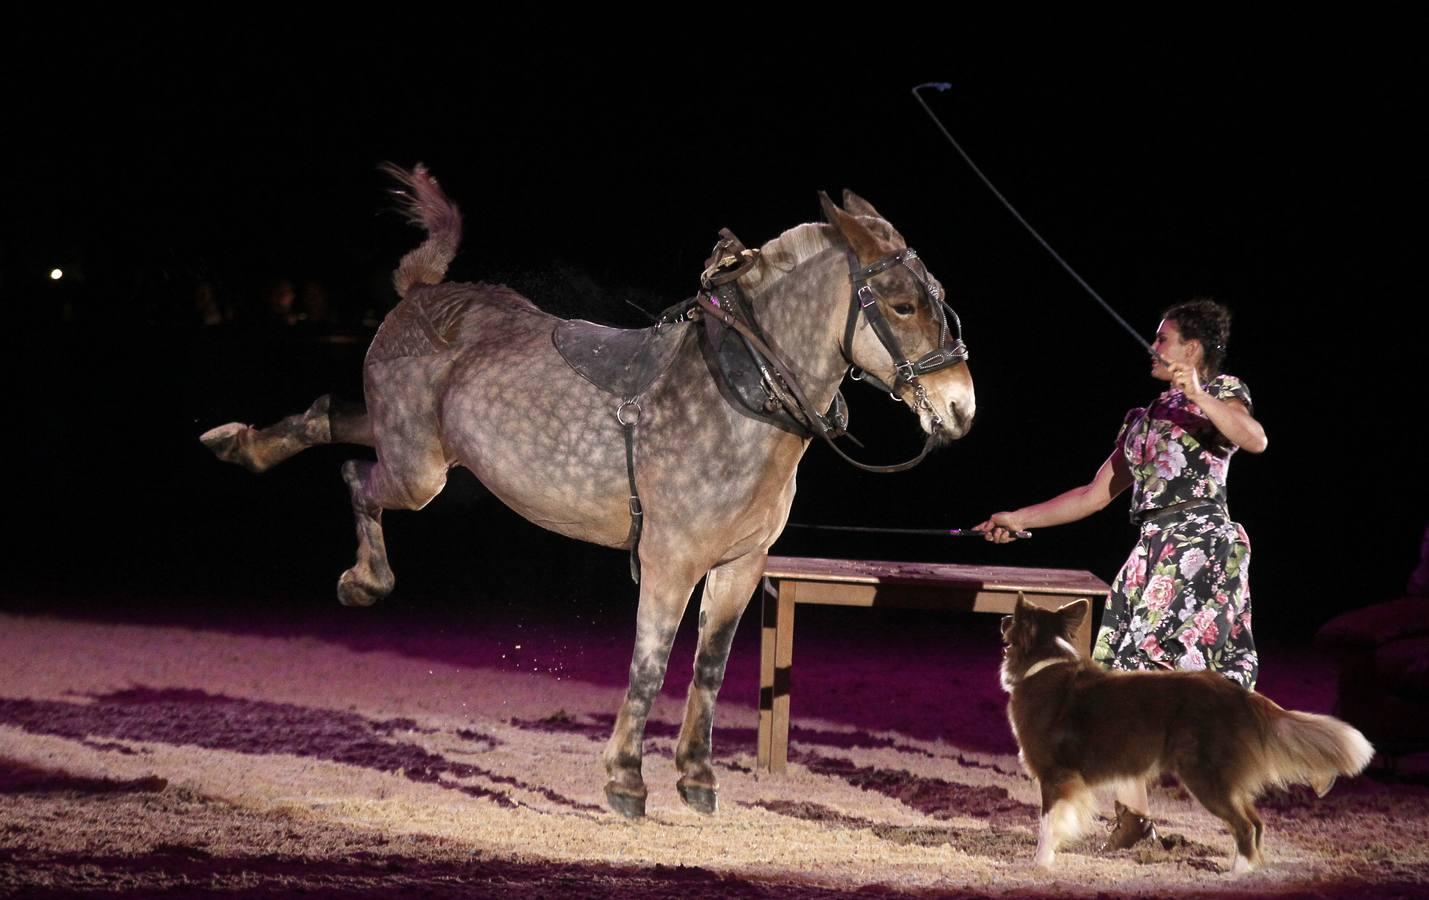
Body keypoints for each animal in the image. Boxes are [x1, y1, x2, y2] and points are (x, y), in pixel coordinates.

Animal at [201, 165, 977, 822]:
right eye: (902, 305)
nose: (959, 408)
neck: (737, 398)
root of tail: (422, 292)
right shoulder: (669, 561)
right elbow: (650, 664)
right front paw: (626, 781)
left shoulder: (739, 566)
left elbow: (709, 666)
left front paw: (696, 778)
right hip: (417, 469)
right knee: (357, 480)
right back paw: (363, 578)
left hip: (420, 447)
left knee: (327, 419)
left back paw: (243, 443)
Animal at [1006, 600, 1371, 874]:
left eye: (1013, 620)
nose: (1003, 619)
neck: (1043, 663)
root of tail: (1242, 696)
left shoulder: (1055, 775)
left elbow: (1047, 823)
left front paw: (1040, 863)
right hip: (1221, 778)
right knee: (1256, 822)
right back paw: (1252, 869)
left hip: (1204, 775)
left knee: (1244, 825)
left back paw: (1237, 875)